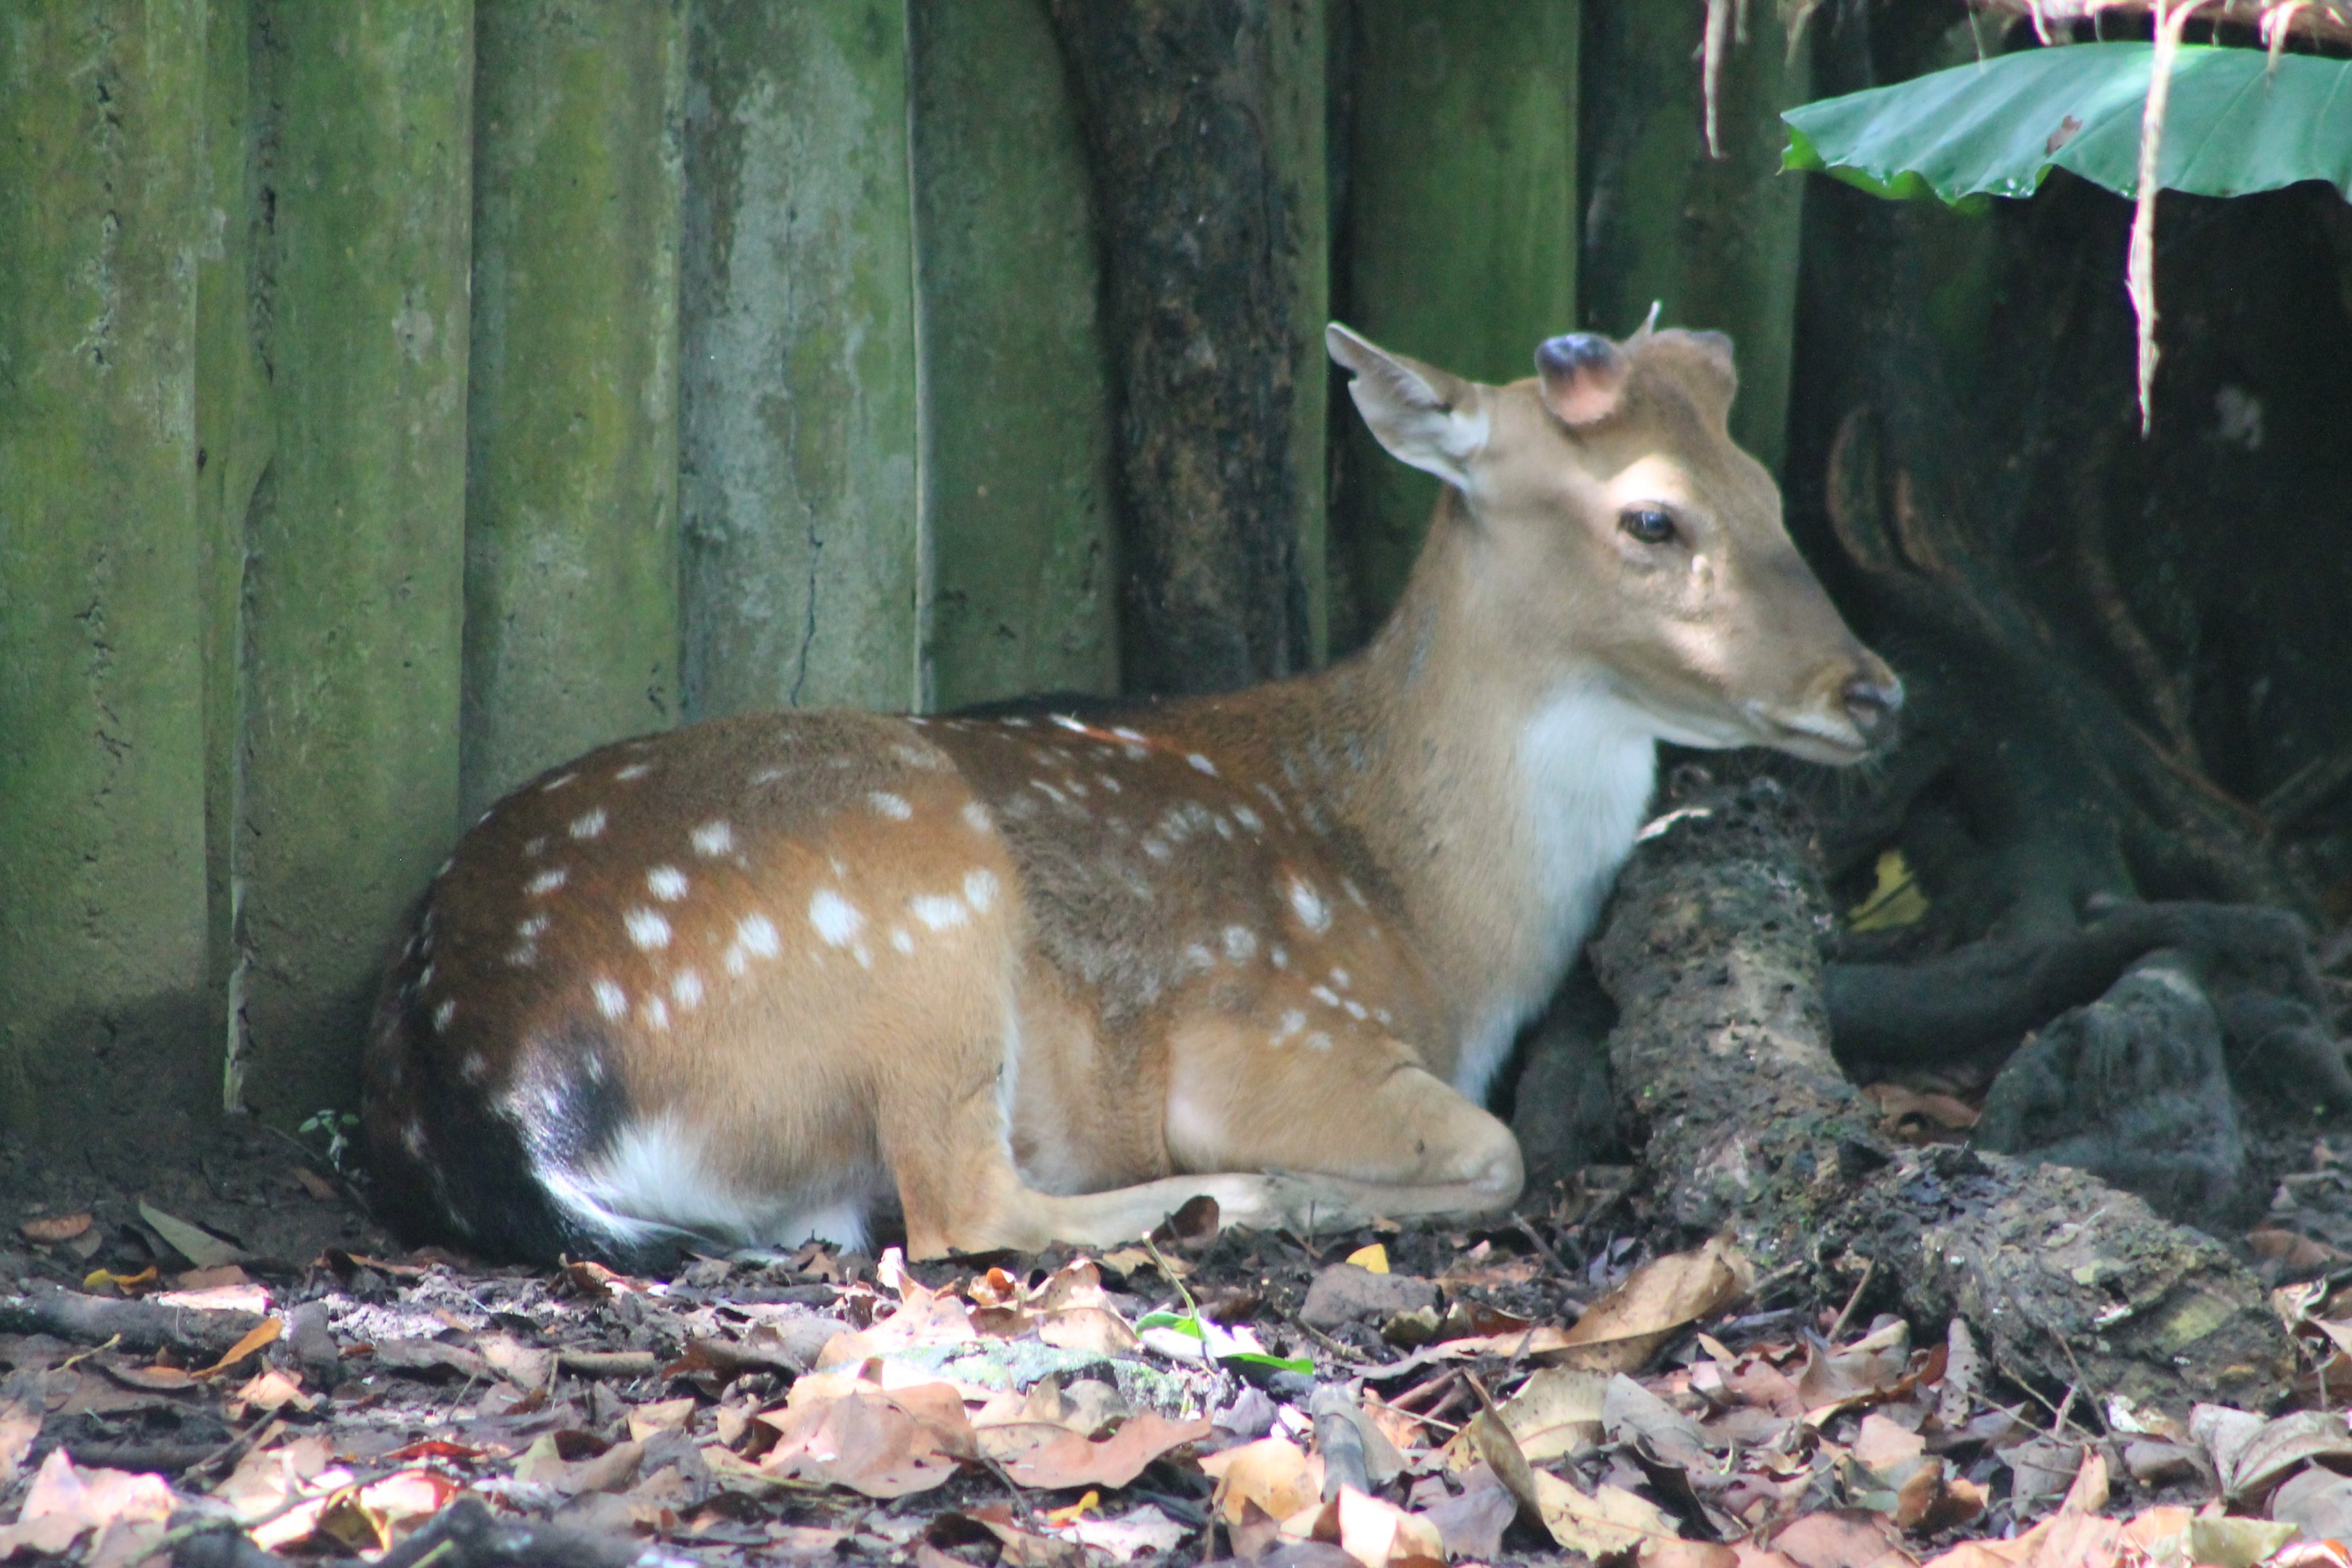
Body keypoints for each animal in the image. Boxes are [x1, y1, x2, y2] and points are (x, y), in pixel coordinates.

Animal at [362, 317, 1901, 1267]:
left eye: (1769, 489)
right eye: (1652, 516)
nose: (1873, 690)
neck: (1437, 920)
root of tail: (489, 1079)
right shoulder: (1270, 1028)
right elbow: (1495, 1147)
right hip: (914, 915)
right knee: (966, 1208)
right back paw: (1234, 1204)